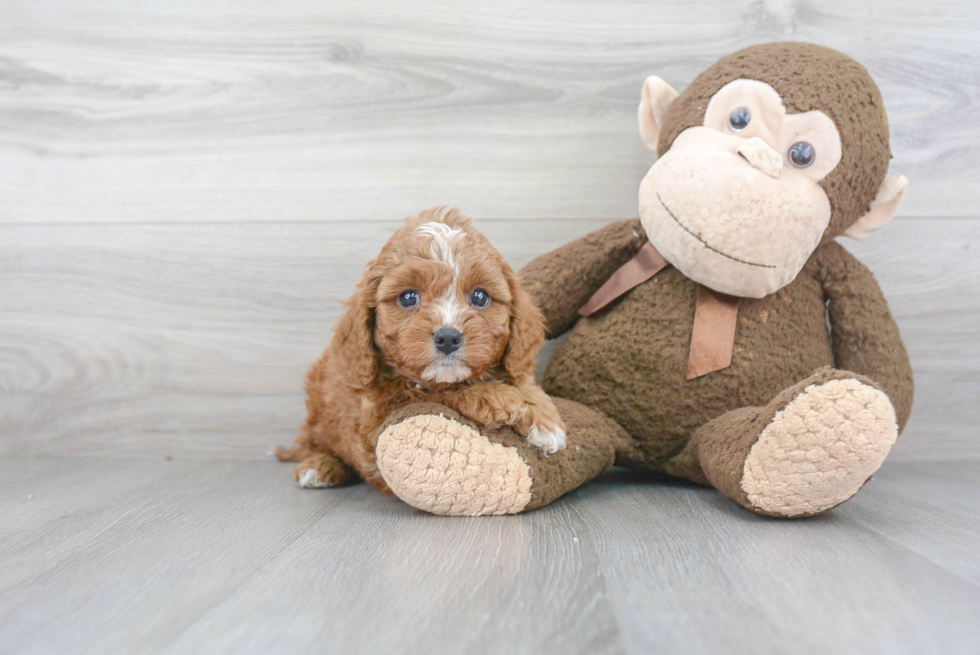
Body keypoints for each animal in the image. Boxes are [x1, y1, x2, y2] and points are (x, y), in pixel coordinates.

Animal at [276, 206, 568, 492]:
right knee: (313, 443)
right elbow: (435, 393)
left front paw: (543, 419)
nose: (448, 337)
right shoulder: (375, 421)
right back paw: (320, 466)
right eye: (408, 297)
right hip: (318, 411)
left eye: (480, 296)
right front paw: (495, 396)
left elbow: (522, 381)